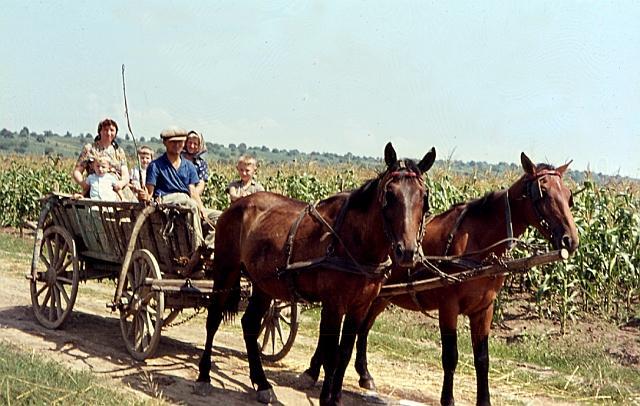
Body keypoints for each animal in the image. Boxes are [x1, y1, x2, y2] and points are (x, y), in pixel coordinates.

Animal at [195, 141, 436, 404]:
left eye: (424, 197)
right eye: (389, 195)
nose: (407, 251)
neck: (352, 241)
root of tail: (236, 205)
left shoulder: (359, 307)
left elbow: (345, 353)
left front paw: (337, 397)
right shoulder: (333, 304)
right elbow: (331, 355)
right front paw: (325, 398)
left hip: (264, 283)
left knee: (250, 323)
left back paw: (262, 384)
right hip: (225, 269)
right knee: (213, 319)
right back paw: (204, 375)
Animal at [302, 152, 576, 406]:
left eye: (569, 195)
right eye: (543, 192)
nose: (571, 240)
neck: (478, 242)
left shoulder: (484, 309)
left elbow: (482, 359)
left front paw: (484, 401)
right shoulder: (448, 306)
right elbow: (450, 356)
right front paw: (448, 400)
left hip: (381, 295)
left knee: (364, 326)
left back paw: (363, 374)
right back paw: (313, 369)